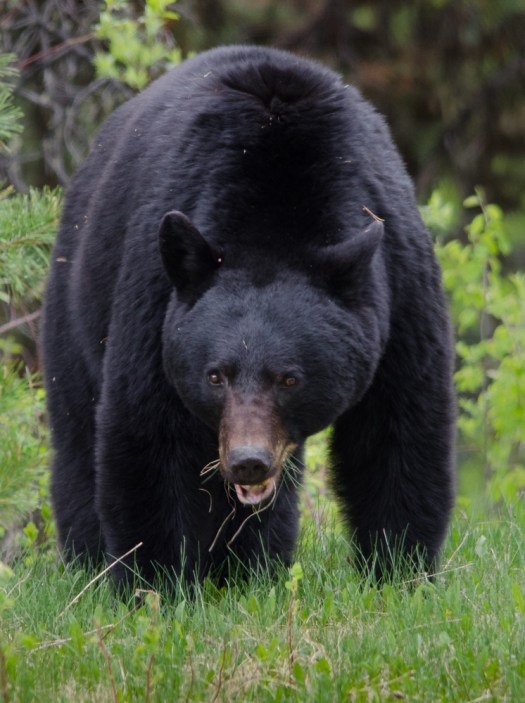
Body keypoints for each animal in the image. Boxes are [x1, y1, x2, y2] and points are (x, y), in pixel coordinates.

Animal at [42, 45, 455, 589]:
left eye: (290, 378)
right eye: (215, 375)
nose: (248, 463)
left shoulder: (399, 289)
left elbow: (399, 426)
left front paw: (400, 570)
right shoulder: (156, 302)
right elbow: (150, 434)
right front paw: (156, 582)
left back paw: (255, 565)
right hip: (77, 301)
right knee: (76, 430)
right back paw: (88, 562)